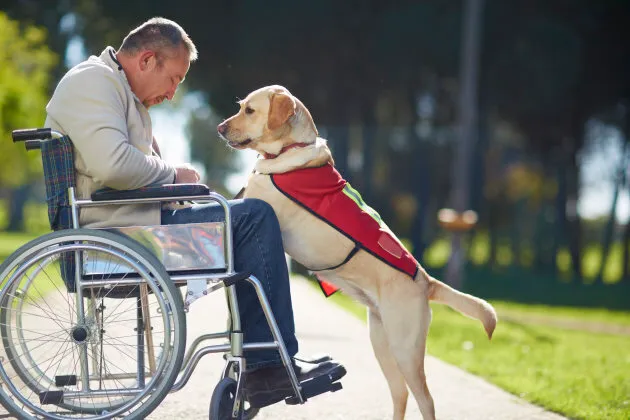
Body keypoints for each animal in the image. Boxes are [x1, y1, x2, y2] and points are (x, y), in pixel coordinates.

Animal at [217, 85, 498, 420]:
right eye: (241, 107)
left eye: (249, 110)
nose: (219, 128)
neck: (290, 151)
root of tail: (426, 280)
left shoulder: (254, 205)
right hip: (381, 343)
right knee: (400, 393)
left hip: (406, 349)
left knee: (425, 400)